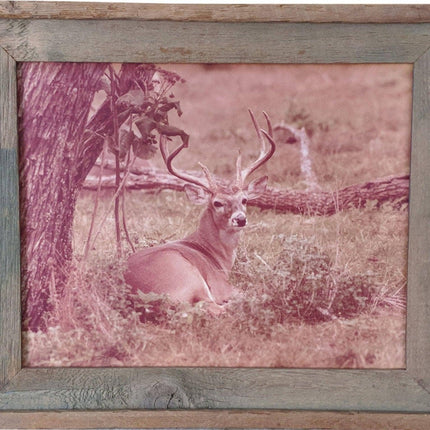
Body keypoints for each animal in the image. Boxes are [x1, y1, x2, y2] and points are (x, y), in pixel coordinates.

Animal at [124, 109, 276, 308]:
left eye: (244, 200)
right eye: (217, 203)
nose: (240, 219)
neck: (215, 256)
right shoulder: (220, 285)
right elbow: (254, 292)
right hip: (188, 276)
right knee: (213, 307)